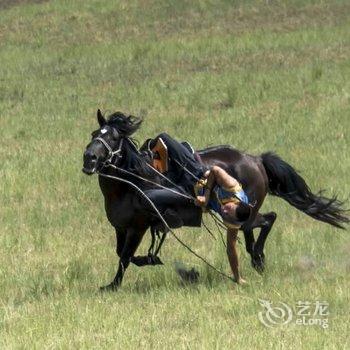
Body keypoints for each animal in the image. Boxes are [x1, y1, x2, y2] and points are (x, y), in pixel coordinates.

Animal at [82, 111, 350, 290]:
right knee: (253, 227)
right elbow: (121, 253)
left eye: (113, 138)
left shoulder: (140, 226)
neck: (135, 178)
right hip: (244, 211)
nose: (89, 158)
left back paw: (258, 257)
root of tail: (256, 159)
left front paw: (122, 279)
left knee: (267, 219)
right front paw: (118, 280)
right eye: (94, 134)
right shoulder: (121, 227)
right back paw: (255, 257)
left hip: (243, 210)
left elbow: (126, 257)